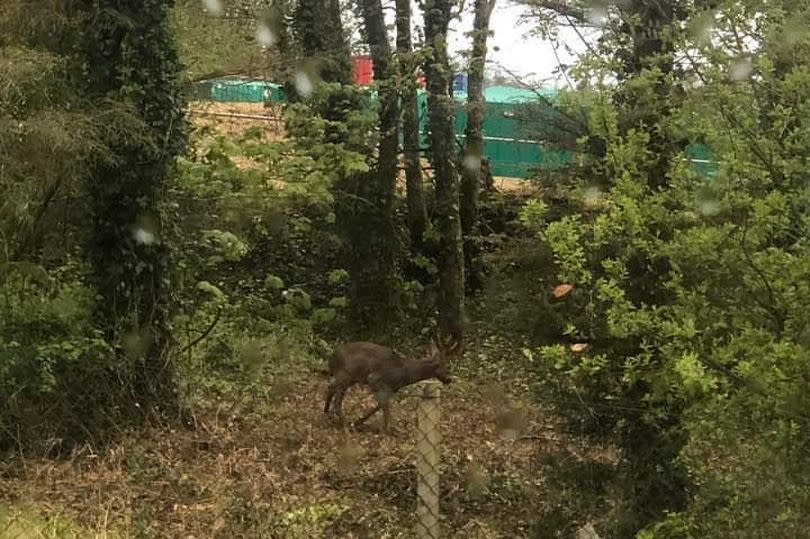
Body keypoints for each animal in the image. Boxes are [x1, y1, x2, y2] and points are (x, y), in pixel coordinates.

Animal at [324, 334, 460, 434]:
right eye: (439, 364)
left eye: (448, 364)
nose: (449, 379)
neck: (404, 372)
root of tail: (331, 358)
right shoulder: (375, 380)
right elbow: (385, 406)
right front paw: (385, 430)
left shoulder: (391, 388)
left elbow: (380, 405)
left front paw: (359, 421)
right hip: (344, 375)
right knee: (337, 400)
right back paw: (344, 424)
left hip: (350, 378)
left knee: (330, 388)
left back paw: (327, 415)